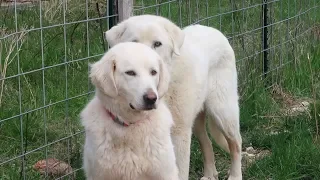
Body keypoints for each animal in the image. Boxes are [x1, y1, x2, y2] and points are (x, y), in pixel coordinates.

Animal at [105, 14, 242, 180]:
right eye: (134, 43)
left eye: (157, 44)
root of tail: (215, 30)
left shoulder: (179, 133)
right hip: (196, 122)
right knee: (207, 143)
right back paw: (210, 175)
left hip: (222, 112)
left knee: (236, 144)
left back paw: (235, 175)